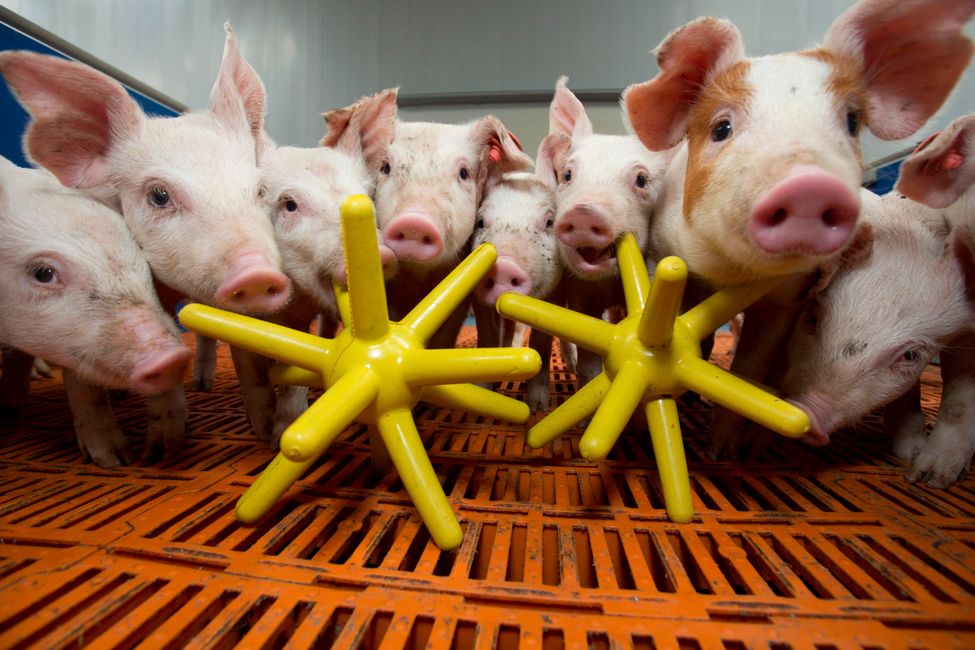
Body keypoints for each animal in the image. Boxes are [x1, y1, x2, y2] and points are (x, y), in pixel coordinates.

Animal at [470, 170, 563, 410]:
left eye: (549, 221)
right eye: (480, 222)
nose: (504, 265)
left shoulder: (555, 292)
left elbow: (541, 342)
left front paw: (539, 407)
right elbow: (488, 336)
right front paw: (483, 389)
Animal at [535, 77, 672, 385]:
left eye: (642, 179)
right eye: (568, 175)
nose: (583, 213)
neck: (608, 285)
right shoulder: (581, 294)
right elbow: (589, 359)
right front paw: (586, 376)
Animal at [621, 0, 975, 456]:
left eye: (851, 121)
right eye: (721, 128)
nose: (808, 184)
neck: (726, 274)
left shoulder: (787, 299)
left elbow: (750, 366)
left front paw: (724, 452)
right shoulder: (658, 255)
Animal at [781, 187, 974, 486]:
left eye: (911, 355)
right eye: (814, 316)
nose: (808, 409)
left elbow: (959, 394)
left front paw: (924, 476)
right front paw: (912, 462)